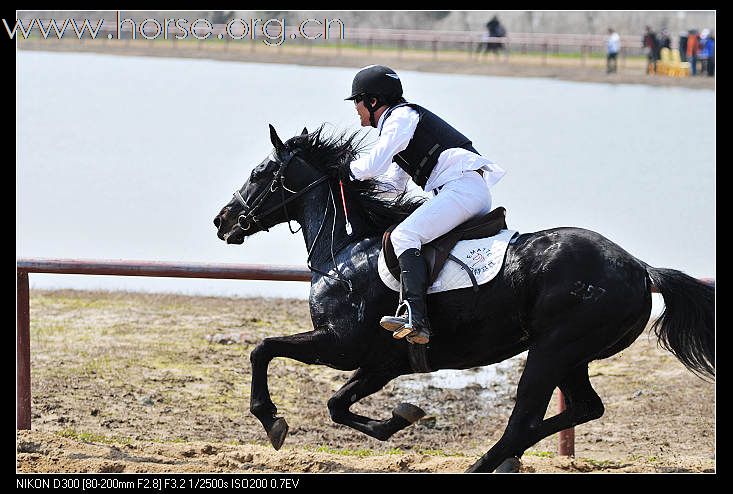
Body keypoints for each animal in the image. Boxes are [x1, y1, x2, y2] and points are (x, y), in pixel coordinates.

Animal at [213, 123, 716, 470]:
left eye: (261, 172)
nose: (223, 220)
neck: (344, 250)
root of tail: (640, 269)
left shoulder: (341, 345)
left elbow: (263, 350)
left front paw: (271, 419)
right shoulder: (382, 362)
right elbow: (339, 405)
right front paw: (400, 417)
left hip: (553, 349)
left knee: (523, 420)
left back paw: (486, 464)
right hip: (572, 355)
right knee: (582, 408)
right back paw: (498, 461)